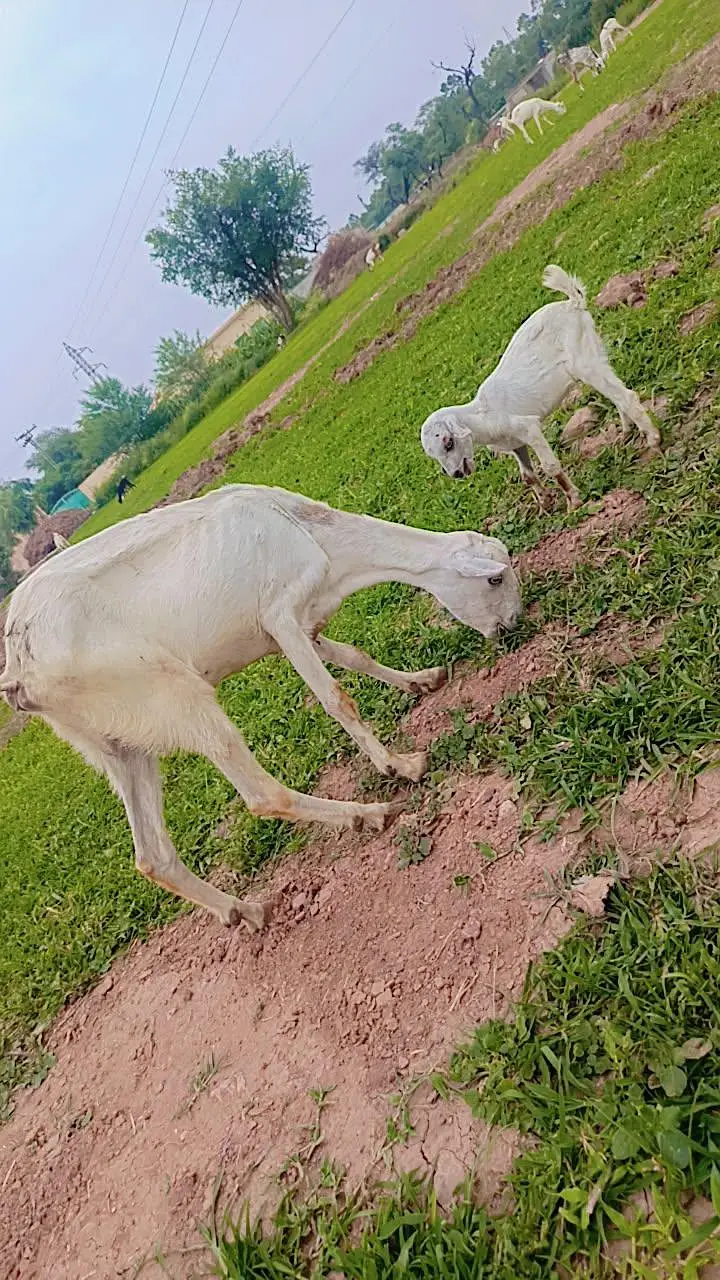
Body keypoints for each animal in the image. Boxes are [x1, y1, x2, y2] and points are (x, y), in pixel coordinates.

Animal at [1, 485, 521, 930]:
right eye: (495, 578)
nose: (513, 626)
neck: (304, 531)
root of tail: (19, 672)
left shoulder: (297, 627)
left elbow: (355, 656)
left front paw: (422, 681)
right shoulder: (281, 616)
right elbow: (336, 698)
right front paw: (399, 764)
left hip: (118, 744)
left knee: (152, 856)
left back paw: (244, 911)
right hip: (175, 694)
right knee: (260, 794)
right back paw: (366, 814)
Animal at [420, 265, 660, 510]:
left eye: (448, 443)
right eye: (433, 455)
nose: (457, 473)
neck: (482, 413)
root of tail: (573, 303)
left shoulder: (528, 428)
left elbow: (550, 466)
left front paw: (573, 501)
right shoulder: (515, 442)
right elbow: (527, 476)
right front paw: (545, 504)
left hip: (584, 361)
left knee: (626, 396)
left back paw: (653, 441)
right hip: (595, 351)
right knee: (615, 393)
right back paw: (626, 433)